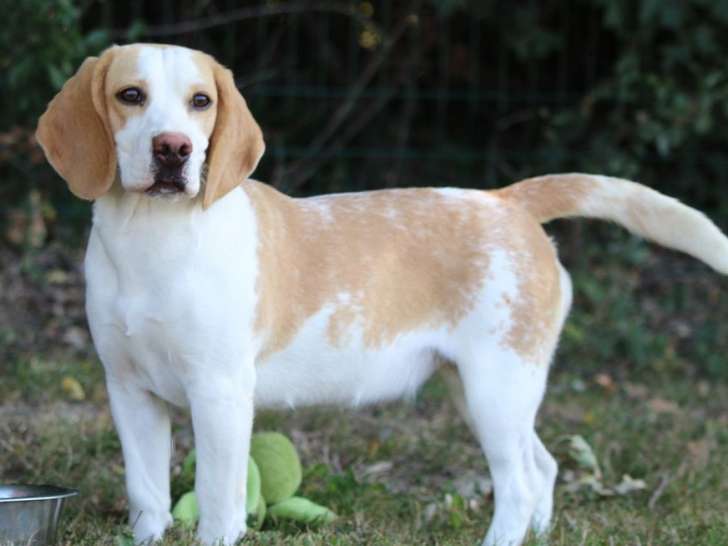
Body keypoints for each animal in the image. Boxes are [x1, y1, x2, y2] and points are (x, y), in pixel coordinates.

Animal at [35, 42, 728, 544]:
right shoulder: (130, 392)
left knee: (519, 485)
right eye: (130, 96)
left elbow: (217, 505)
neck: (151, 241)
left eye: (200, 101)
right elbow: (147, 499)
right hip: (483, 390)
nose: (173, 149)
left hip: (496, 389)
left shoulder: (221, 394)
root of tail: (507, 200)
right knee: (545, 466)